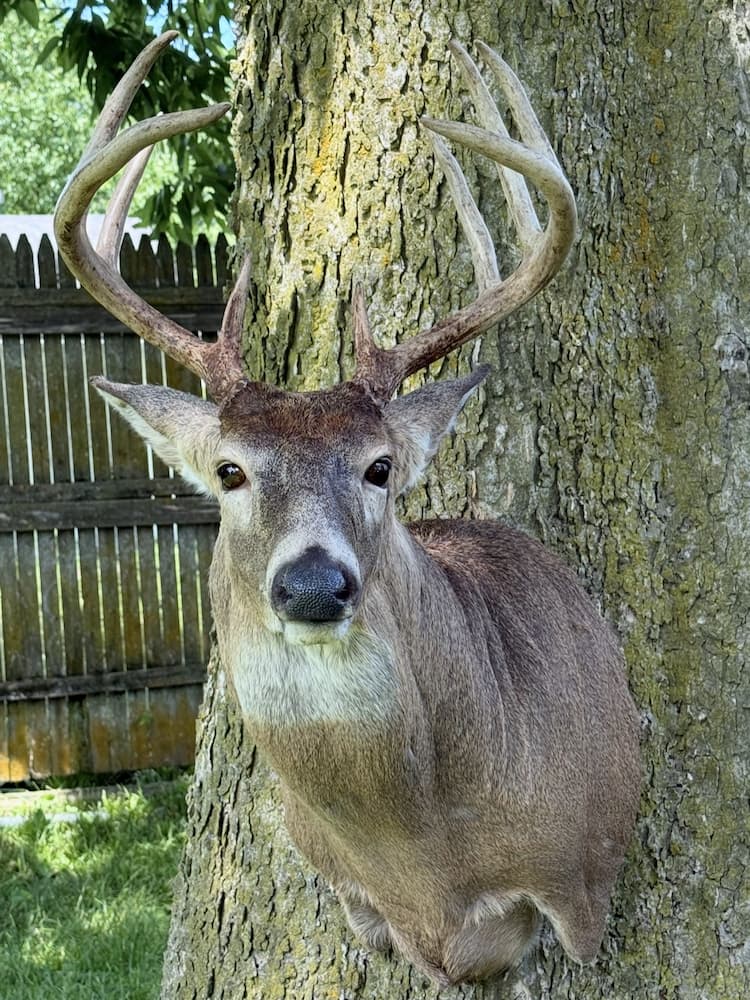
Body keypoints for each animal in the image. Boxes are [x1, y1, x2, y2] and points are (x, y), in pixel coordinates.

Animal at [54, 32, 640, 986]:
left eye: (379, 467)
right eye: (229, 471)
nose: (313, 584)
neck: (423, 854)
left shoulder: (580, 884)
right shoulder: (359, 904)